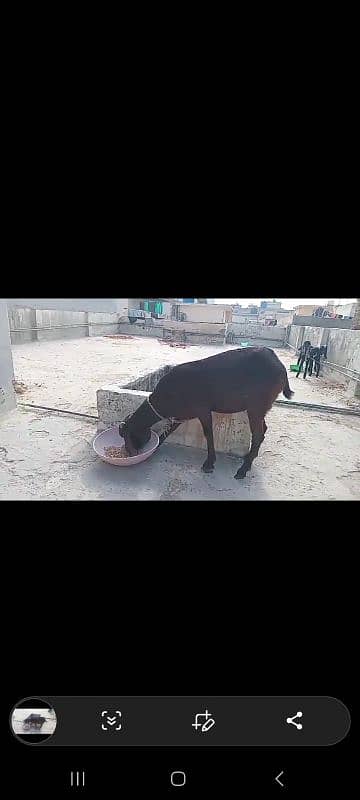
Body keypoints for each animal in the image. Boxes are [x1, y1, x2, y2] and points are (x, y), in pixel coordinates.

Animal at [119, 346, 294, 478]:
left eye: (129, 435)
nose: (129, 452)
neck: (167, 396)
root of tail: (280, 366)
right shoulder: (182, 414)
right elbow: (168, 431)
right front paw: (155, 449)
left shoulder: (202, 409)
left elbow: (208, 433)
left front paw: (209, 464)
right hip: (261, 408)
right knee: (263, 429)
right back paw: (248, 459)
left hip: (256, 406)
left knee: (257, 434)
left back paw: (243, 470)